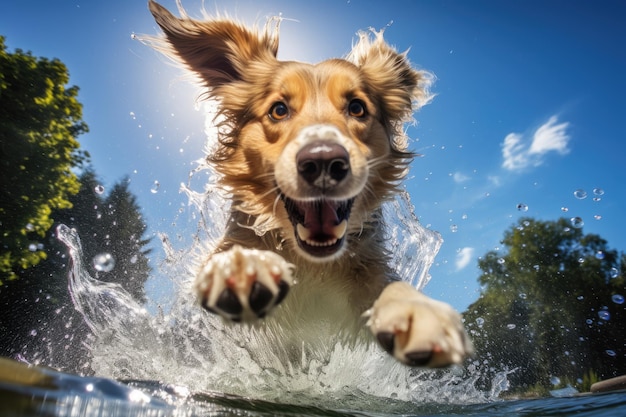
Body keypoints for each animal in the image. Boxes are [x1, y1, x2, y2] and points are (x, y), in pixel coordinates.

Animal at [146, 0, 468, 366]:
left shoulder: (367, 276)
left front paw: (420, 313)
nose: (324, 161)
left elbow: (390, 288)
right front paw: (242, 267)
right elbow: (224, 259)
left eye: (357, 107)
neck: (311, 264)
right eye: (278, 109)